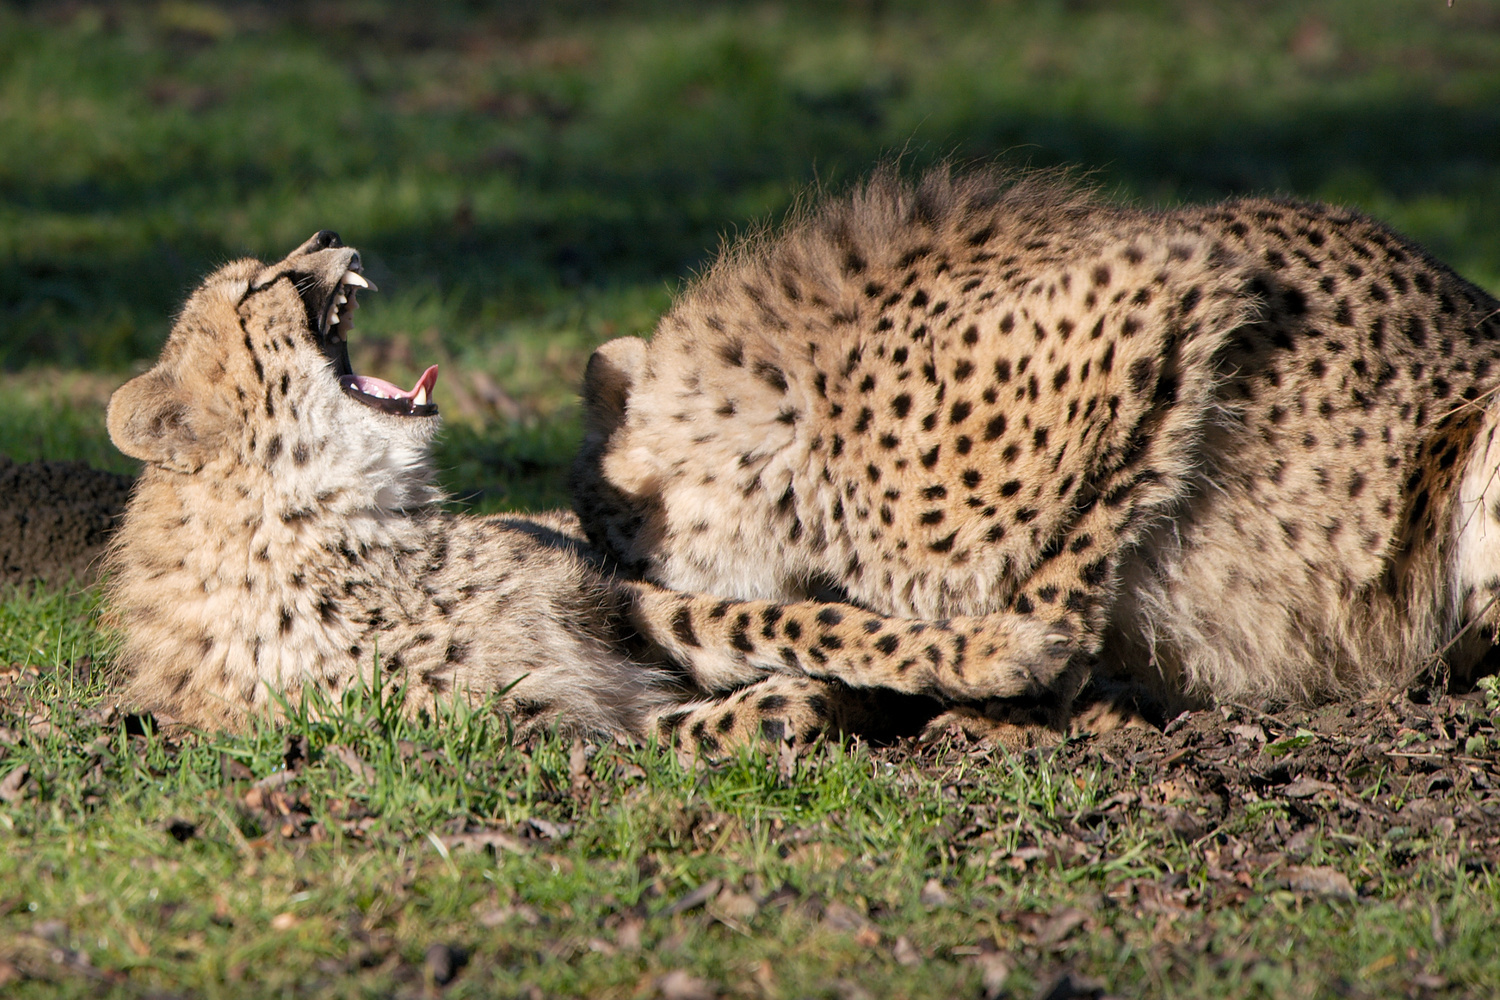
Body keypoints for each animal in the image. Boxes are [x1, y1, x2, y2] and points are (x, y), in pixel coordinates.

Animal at [103, 230, 1078, 755]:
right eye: (260, 287)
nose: (325, 240)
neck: (350, 523)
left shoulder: (612, 598)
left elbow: (802, 623)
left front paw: (999, 648)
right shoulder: (531, 729)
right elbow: (708, 717)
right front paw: (802, 702)